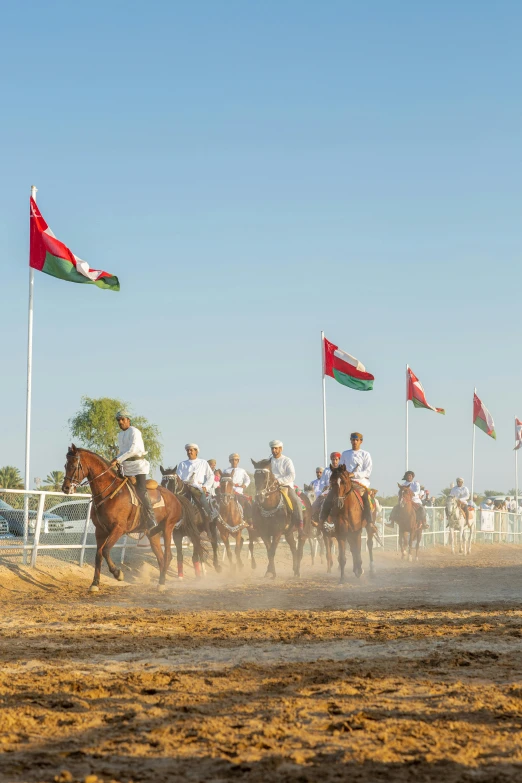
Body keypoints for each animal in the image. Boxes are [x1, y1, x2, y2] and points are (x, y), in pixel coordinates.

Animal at [62, 444, 204, 592]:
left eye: (73, 465)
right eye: (66, 465)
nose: (65, 488)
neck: (111, 493)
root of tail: (175, 496)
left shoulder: (118, 529)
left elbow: (106, 550)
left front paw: (118, 573)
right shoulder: (100, 530)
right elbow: (98, 554)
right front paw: (94, 584)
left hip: (167, 528)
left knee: (167, 555)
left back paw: (162, 583)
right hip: (153, 534)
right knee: (161, 557)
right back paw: (161, 582)